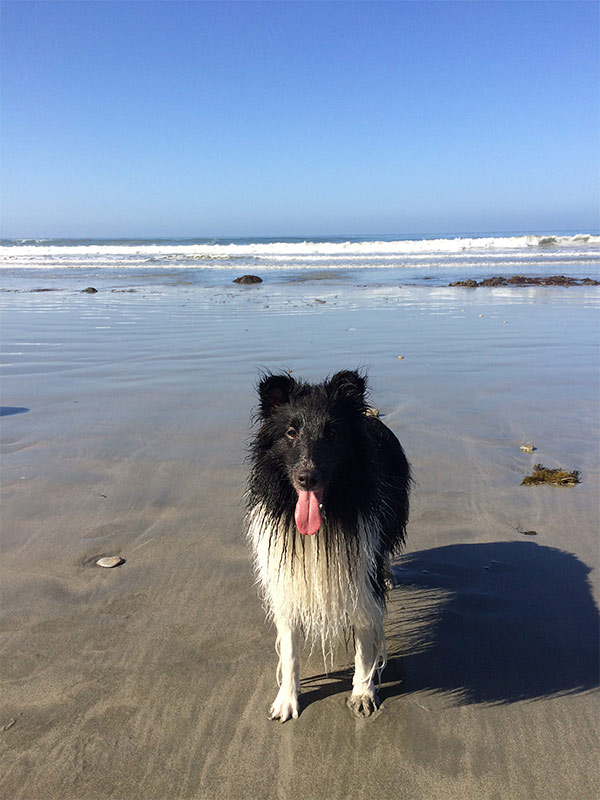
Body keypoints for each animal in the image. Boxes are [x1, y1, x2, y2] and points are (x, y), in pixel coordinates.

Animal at [246, 372, 410, 720]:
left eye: (332, 433)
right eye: (291, 432)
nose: (307, 478)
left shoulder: (361, 575)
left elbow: (364, 644)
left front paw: (363, 692)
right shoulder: (288, 580)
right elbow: (290, 650)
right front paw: (286, 699)